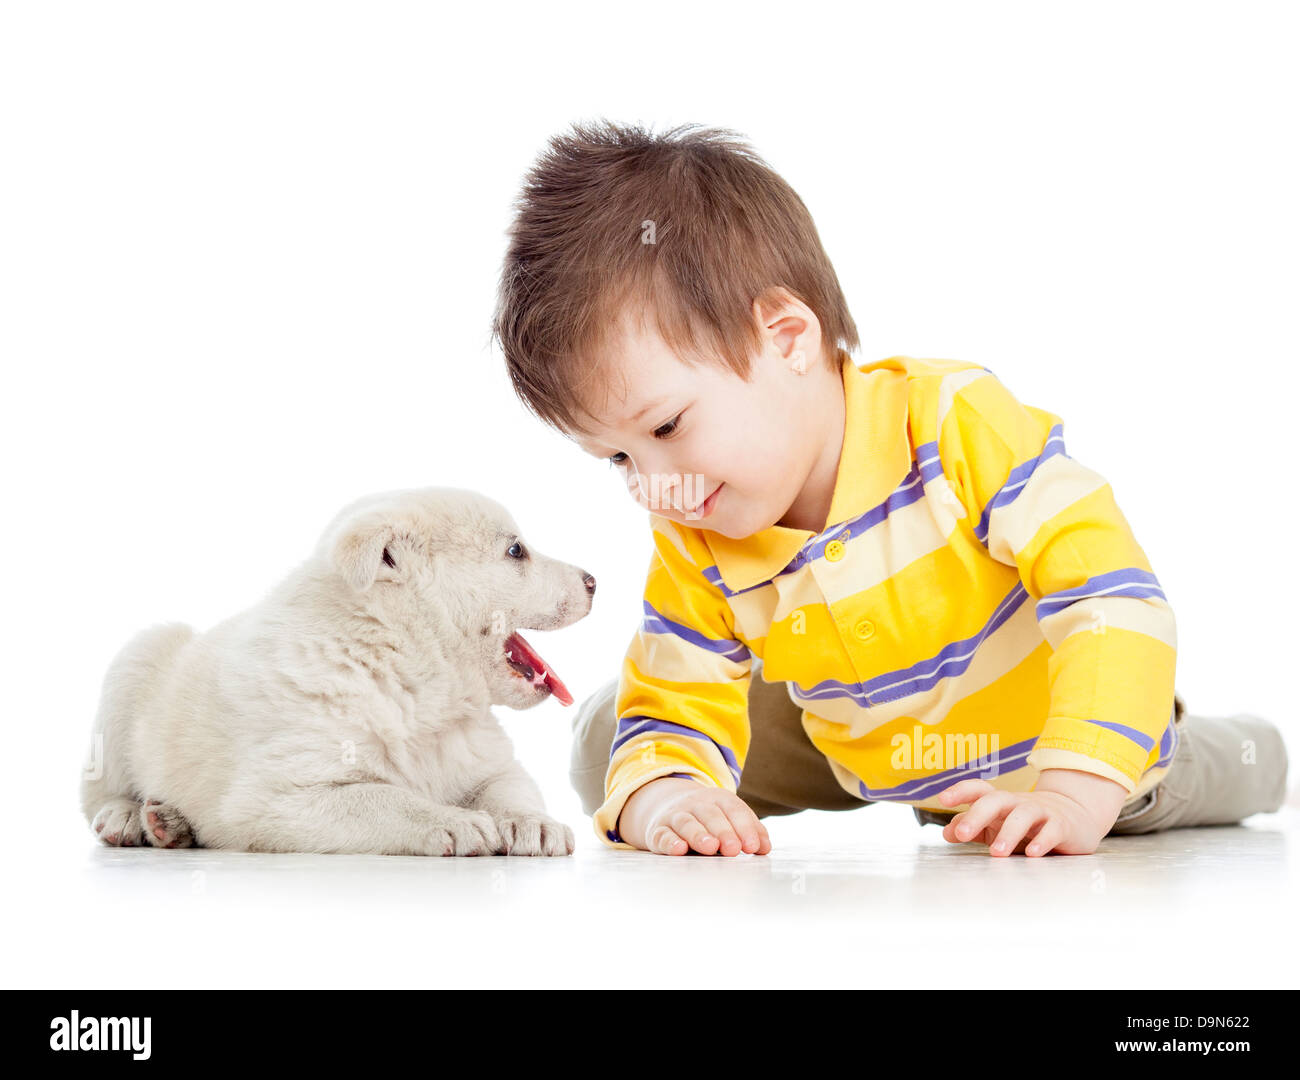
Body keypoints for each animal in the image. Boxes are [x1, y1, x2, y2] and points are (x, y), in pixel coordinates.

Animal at [77, 488, 595, 852]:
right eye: (516, 551)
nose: (594, 581)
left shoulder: (489, 762)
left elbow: (510, 787)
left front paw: (533, 823)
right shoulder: (277, 797)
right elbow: (383, 798)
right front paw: (453, 821)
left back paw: (171, 823)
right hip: (134, 663)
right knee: (99, 792)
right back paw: (130, 817)